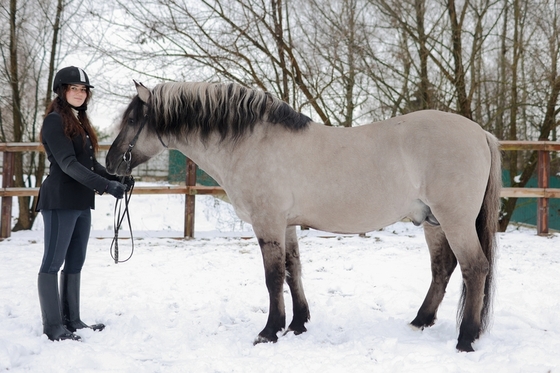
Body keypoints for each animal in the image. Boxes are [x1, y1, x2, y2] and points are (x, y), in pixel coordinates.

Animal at [107, 81, 500, 352]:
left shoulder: (267, 222)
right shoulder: (287, 224)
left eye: (132, 119)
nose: (110, 162)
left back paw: (466, 339)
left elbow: (272, 277)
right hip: (434, 222)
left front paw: (269, 331)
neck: (253, 143)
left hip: (455, 220)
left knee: (475, 268)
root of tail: (480, 132)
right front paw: (298, 324)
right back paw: (421, 321)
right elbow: (292, 270)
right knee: (443, 268)